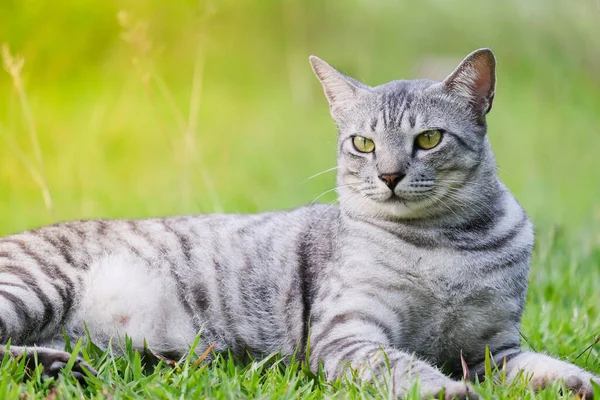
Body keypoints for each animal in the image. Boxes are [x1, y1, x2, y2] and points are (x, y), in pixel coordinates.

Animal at [0, 48, 596, 398]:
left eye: (429, 138)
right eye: (363, 143)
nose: (389, 175)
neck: (446, 240)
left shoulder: (492, 350)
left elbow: (544, 366)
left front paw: (576, 379)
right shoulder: (348, 333)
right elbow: (403, 366)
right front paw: (445, 390)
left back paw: (63, 368)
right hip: (33, 288)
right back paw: (58, 369)